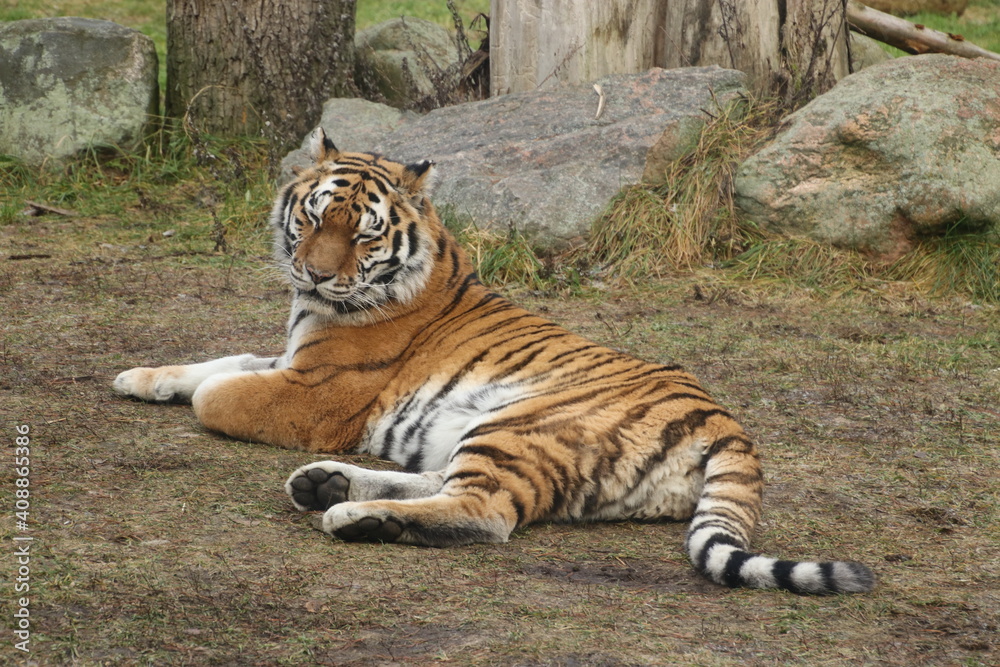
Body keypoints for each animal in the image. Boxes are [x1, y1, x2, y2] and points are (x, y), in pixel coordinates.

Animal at [113, 128, 875, 595]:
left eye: (362, 236)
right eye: (314, 217)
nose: (317, 275)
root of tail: (726, 422)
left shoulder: (316, 391)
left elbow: (218, 393)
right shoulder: (290, 354)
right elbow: (219, 360)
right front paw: (137, 377)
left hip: (521, 423)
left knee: (486, 511)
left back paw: (352, 516)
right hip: (490, 433)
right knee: (448, 485)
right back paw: (329, 485)